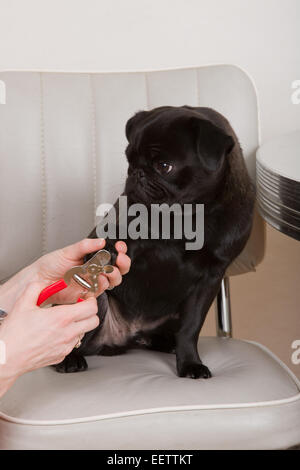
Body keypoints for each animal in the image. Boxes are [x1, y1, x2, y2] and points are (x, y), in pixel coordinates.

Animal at [55, 105, 254, 378]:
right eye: (129, 159)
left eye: (164, 166)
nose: (136, 173)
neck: (187, 218)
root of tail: (125, 337)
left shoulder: (210, 279)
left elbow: (190, 328)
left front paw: (190, 363)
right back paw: (69, 358)